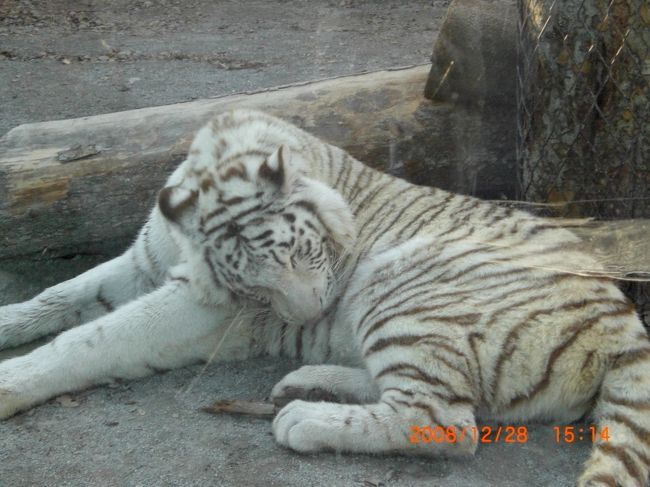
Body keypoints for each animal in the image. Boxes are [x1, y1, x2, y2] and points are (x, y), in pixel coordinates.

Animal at [1, 111, 648, 487]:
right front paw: (13, 319)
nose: (316, 314)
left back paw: (303, 417)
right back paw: (309, 382)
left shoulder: (204, 309)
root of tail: (620, 317)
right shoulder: (145, 262)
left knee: (443, 421)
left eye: (300, 254)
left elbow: (90, 338)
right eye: (255, 284)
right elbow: (62, 293)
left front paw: (11, 382)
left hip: (401, 288)